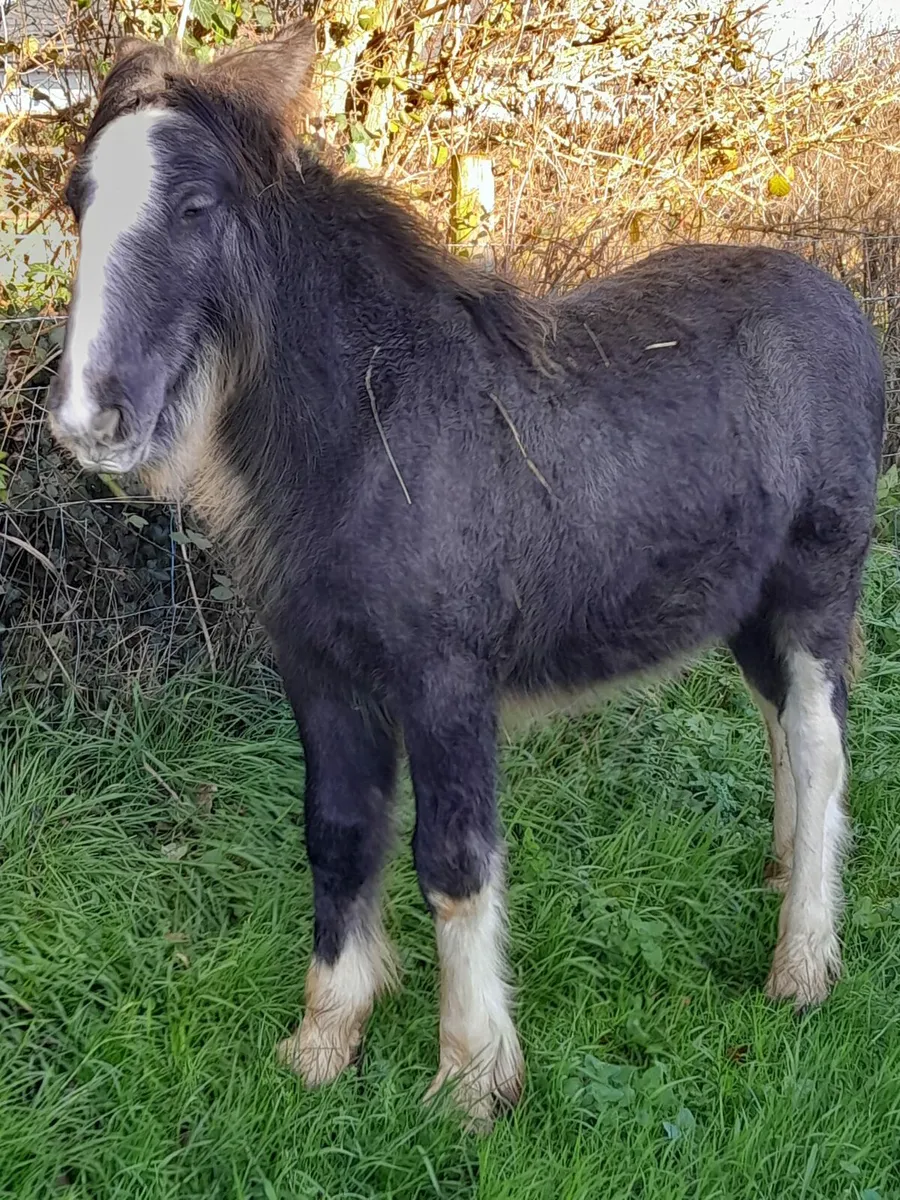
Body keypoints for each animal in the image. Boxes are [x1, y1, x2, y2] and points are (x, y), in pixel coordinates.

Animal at [48, 21, 885, 1128]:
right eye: (78, 200)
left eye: (196, 207)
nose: (89, 418)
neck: (370, 429)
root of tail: (841, 304)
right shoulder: (320, 676)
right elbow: (338, 836)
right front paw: (324, 1041)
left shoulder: (446, 684)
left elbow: (452, 863)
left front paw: (472, 1079)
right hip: (744, 613)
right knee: (782, 731)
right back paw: (782, 878)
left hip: (814, 589)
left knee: (823, 748)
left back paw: (802, 967)